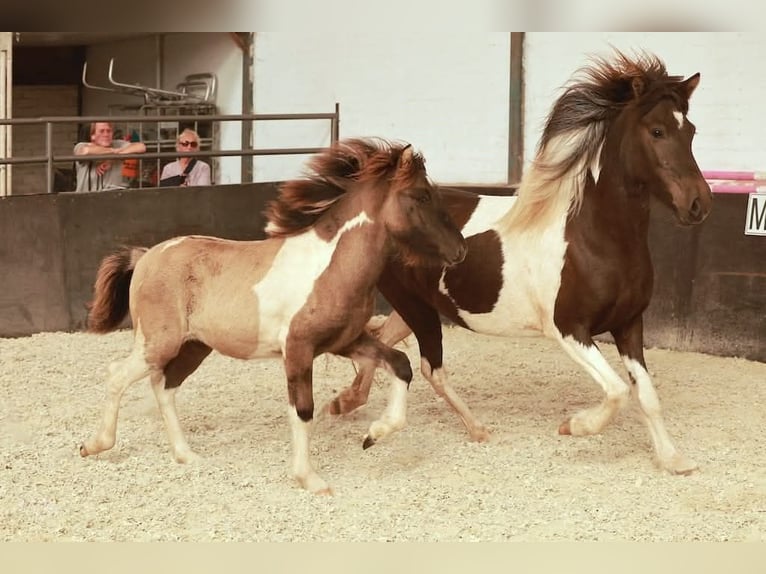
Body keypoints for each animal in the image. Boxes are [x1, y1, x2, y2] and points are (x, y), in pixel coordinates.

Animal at [79, 138, 467, 494]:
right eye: (421, 196)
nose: (460, 249)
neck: (330, 267)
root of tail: (145, 256)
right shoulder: (298, 349)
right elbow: (303, 409)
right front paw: (310, 479)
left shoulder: (346, 342)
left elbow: (400, 364)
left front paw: (372, 435)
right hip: (158, 342)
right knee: (117, 375)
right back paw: (94, 445)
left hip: (194, 347)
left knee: (163, 386)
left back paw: (186, 455)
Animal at [327, 51, 712, 475]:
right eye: (657, 131)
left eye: (692, 132)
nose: (699, 204)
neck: (595, 238)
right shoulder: (569, 329)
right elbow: (617, 391)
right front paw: (574, 426)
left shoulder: (629, 324)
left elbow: (646, 395)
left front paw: (673, 460)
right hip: (414, 305)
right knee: (429, 367)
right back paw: (467, 429)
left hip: (418, 306)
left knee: (383, 339)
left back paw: (348, 401)